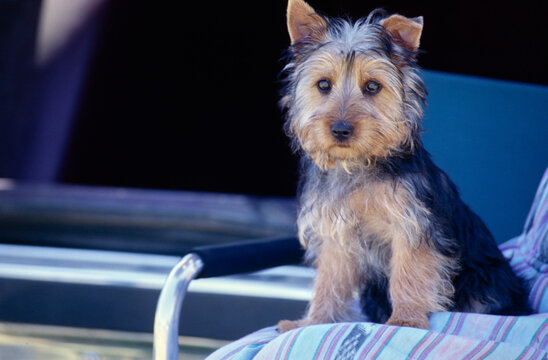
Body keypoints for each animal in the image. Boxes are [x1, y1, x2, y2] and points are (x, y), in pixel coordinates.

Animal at [278, 0, 532, 332]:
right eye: (323, 85)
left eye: (373, 87)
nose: (341, 129)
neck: (359, 163)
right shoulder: (337, 234)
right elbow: (329, 280)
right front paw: (314, 321)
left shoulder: (411, 224)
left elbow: (408, 271)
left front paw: (406, 319)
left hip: (487, 282)